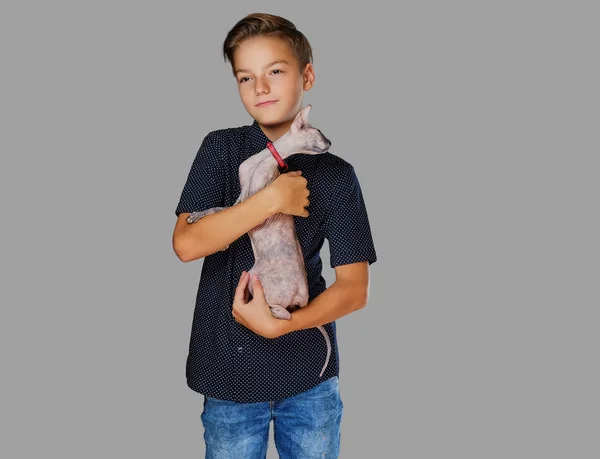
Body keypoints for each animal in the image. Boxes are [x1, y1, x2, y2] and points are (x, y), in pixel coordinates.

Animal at [188, 106, 332, 380]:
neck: (265, 159)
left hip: (259, 278)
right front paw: (195, 216)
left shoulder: (252, 203)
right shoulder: (241, 198)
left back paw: (271, 312)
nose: (331, 142)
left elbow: (221, 209)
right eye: (320, 131)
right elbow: (217, 209)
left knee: (287, 315)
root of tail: (303, 296)